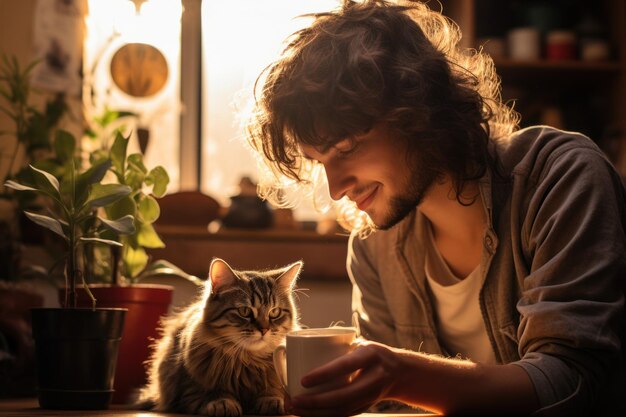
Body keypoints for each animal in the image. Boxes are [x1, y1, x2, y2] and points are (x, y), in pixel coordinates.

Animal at [137, 258, 302, 414]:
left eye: (274, 312)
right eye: (244, 311)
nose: (264, 330)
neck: (246, 359)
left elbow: (273, 392)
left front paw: (271, 400)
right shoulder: (187, 392)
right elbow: (211, 394)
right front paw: (222, 403)